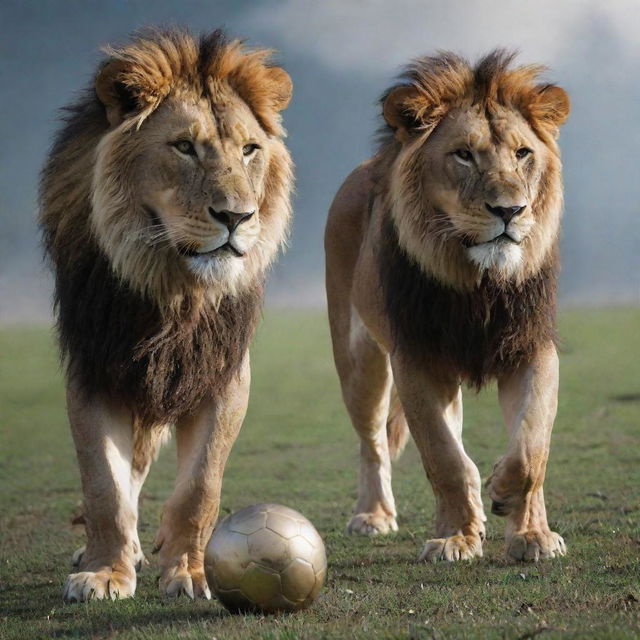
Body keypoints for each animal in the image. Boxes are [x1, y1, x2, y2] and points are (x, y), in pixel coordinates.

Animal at [41, 28, 296, 600]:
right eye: (183, 146)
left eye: (249, 149)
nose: (236, 217)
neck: (175, 289)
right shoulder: (95, 367)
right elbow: (105, 486)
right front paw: (105, 572)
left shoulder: (223, 373)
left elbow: (200, 487)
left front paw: (193, 571)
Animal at [324, 50, 568, 564]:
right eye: (464, 154)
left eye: (523, 153)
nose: (509, 211)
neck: (478, 283)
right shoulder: (416, 357)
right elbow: (444, 457)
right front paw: (454, 539)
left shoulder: (532, 348)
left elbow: (531, 446)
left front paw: (526, 525)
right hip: (359, 359)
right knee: (373, 441)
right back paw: (374, 515)